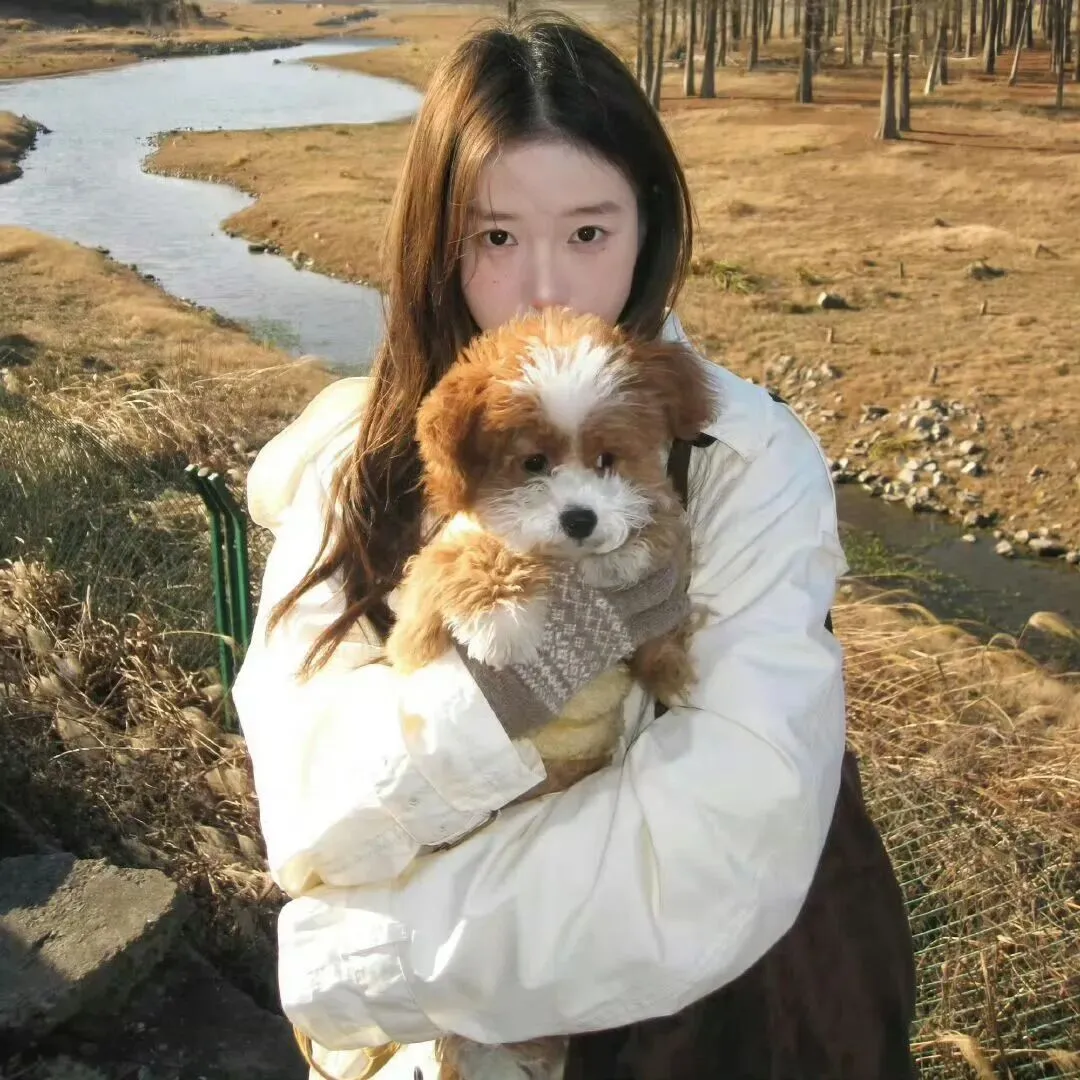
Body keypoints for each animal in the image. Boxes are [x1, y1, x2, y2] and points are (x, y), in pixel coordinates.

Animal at [377, 307, 717, 1080]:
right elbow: (468, 563)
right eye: (532, 464)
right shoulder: (434, 577)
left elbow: (659, 560)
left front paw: (668, 656)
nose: (580, 519)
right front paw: (502, 619)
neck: (567, 567)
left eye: (608, 459)